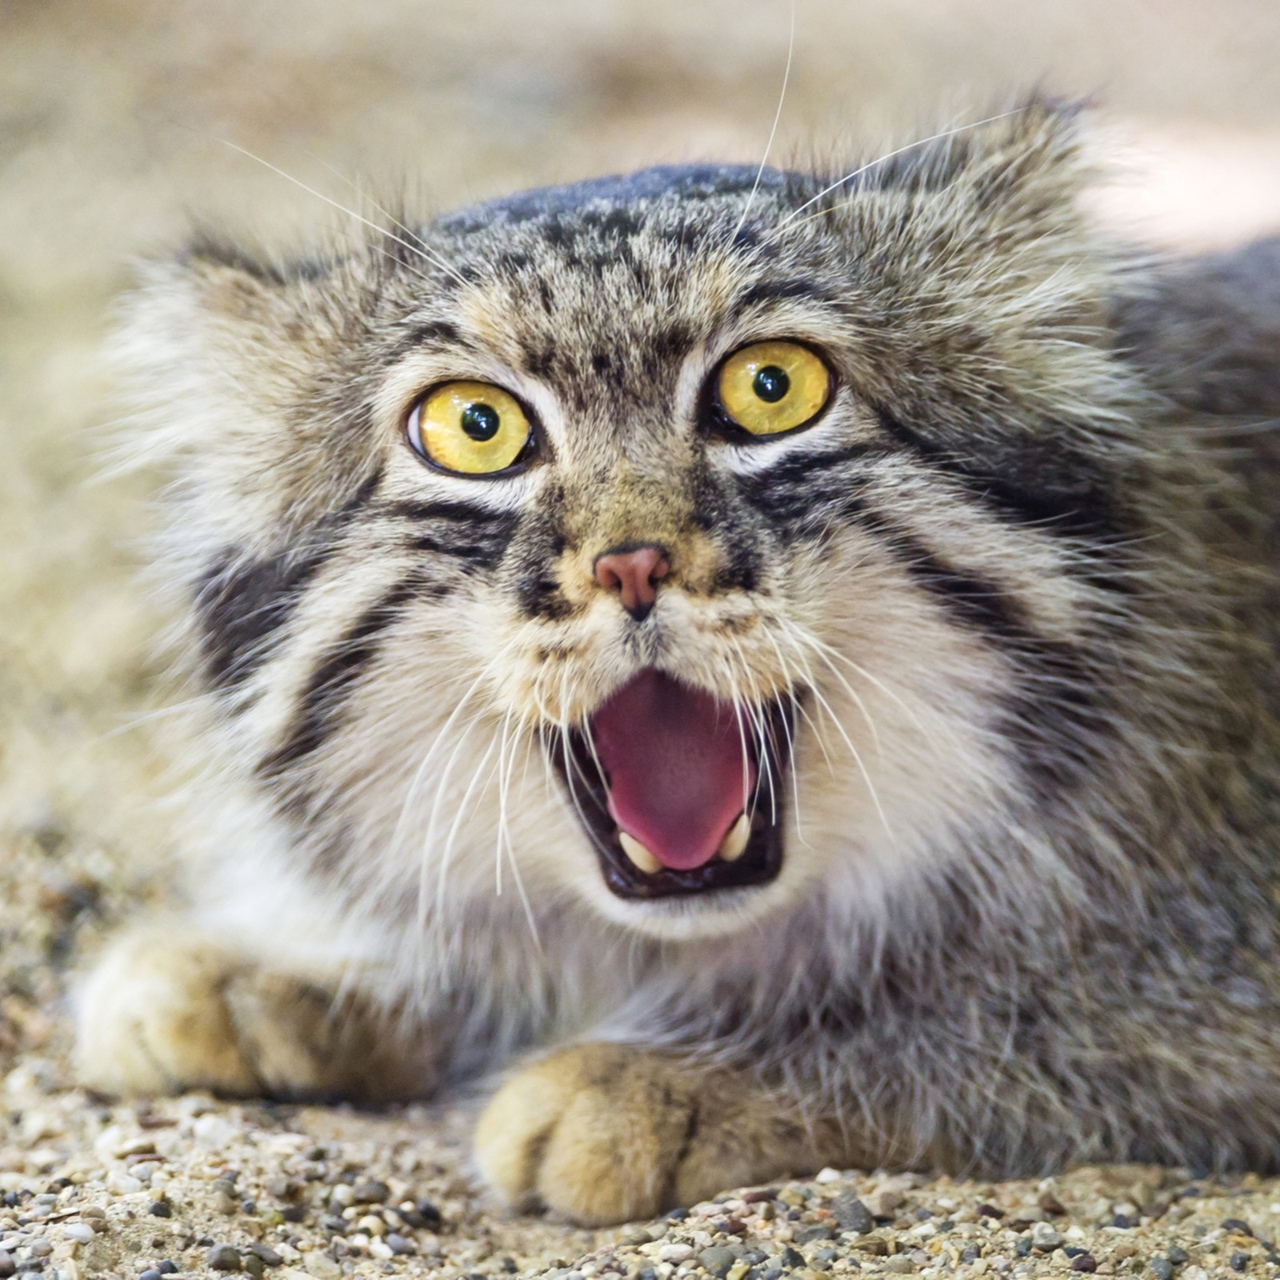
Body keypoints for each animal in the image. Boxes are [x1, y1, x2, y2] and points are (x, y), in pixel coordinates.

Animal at [72, 104, 1280, 1223]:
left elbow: (1053, 1019)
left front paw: (660, 1079)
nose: (634, 563)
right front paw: (288, 964)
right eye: (474, 427)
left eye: (771, 388)